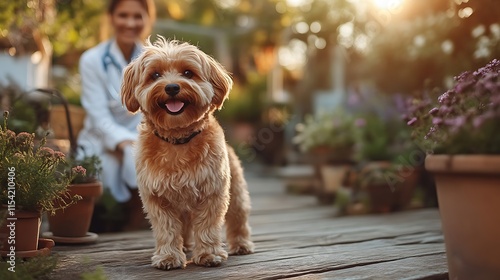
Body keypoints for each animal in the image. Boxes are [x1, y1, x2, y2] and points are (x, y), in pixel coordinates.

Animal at [120, 37, 254, 270]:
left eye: (188, 73)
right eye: (155, 75)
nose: (172, 87)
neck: (178, 140)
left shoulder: (212, 191)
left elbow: (207, 226)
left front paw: (209, 254)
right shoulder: (157, 197)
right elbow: (167, 229)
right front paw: (168, 257)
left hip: (236, 191)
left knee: (238, 217)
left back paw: (241, 244)